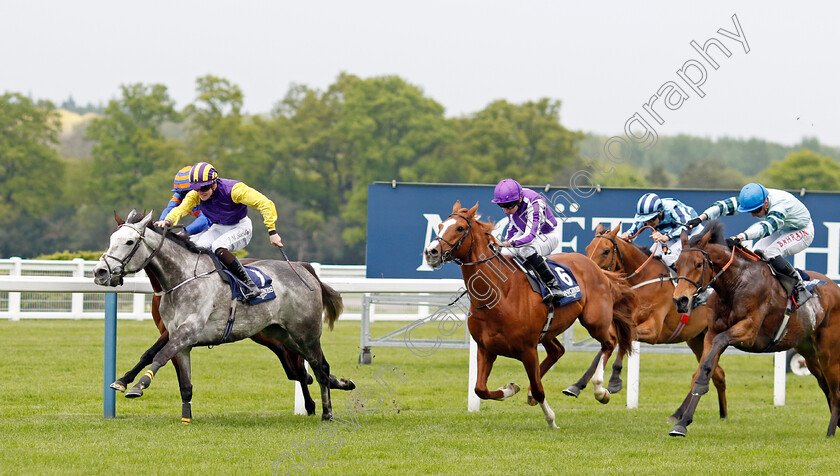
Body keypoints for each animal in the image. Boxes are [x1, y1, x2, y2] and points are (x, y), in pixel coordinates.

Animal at [92, 210, 354, 422]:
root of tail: (302, 268)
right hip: (282, 335)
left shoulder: (187, 332)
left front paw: (138, 386)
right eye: (112, 240)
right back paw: (340, 385)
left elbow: (160, 356)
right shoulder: (178, 337)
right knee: (310, 369)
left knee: (316, 367)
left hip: (304, 333)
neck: (182, 278)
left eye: (129, 241)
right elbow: (182, 382)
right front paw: (186, 418)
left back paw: (326, 412)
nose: (100, 271)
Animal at [424, 201, 632, 428]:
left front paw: (551, 420)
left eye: (460, 228)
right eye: (440, 226)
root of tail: (595, 266)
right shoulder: (485, 348)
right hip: (550, 330)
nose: (431, 251)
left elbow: (540, 390)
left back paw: (600, 390)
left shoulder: (528, 349)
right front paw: (510, 388)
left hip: (594, 320)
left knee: (609, 342)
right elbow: (480, 389)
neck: (499, 295)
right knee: (557, 351)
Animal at [576, 221, 728, 422]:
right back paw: (722, 414)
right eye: (587, 248)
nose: (588, 270)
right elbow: (611, 343)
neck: (643, 279)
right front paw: (580, 385)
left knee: (700, 374)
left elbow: (625, 339)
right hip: (698, 338)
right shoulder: (621, 323)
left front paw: (614, 380)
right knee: (717, 374)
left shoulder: (654, 328)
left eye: (606, 251)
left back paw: (679, 414)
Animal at [672, 221, 840, 436]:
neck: (736, 284)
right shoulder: (710, 334)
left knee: (835, 390)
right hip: (808, 352)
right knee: (825, 385)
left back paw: (831, 432)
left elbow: (717, 347)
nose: (680, 301)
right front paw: (681, 423)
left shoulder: (748, 332)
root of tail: (836, 288)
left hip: (829, 352)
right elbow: (703, 371)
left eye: (698, 264)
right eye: (676, 265)